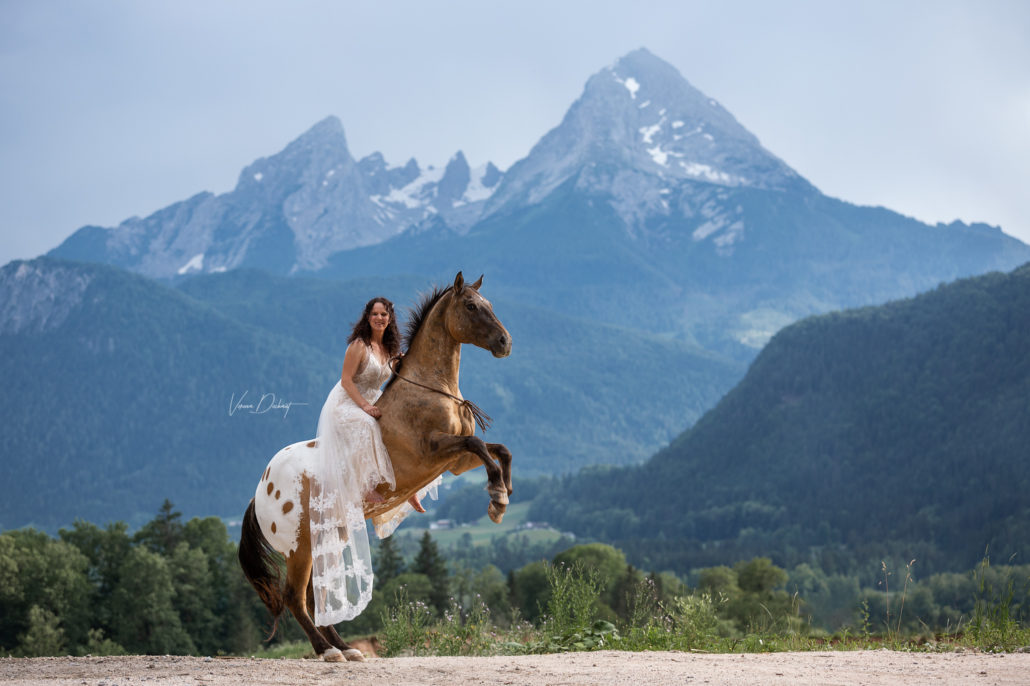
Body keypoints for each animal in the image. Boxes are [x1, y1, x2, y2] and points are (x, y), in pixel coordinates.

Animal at [238, 272, 513, 661]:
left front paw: (503, 496)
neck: (431, 389)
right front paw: (498, 499)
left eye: (488, 304)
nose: (505, 342)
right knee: (295, 597)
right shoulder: (433, 450)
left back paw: (347, 649)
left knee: (314, 598)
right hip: (299, 547)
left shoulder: (456, 462)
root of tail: (260, 492)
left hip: (328, 537)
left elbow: (499, 450)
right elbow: (480, 445)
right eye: (472, 306)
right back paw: (328, 652)